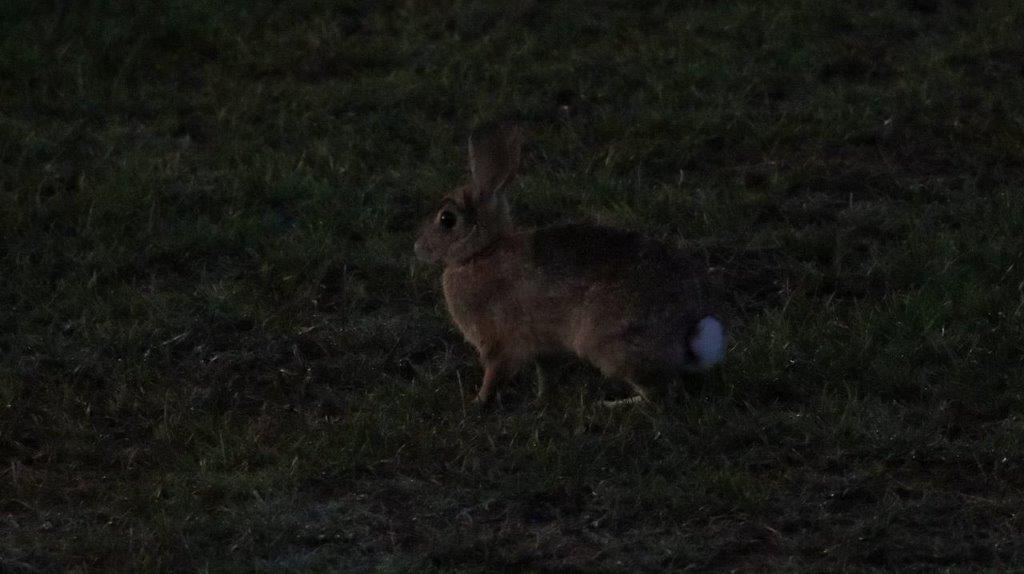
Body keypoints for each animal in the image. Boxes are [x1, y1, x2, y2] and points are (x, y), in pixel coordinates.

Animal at [411, 123, 724, 405]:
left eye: (446, 219)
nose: (418, 248)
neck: (481, 252)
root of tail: (685, 335)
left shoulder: (497, 343)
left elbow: (494, 375)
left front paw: (477, 402)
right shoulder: (544, 349)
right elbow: (545, 374)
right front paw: (540, 399)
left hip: (607, 345)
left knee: (656, 395)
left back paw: (613, 404)